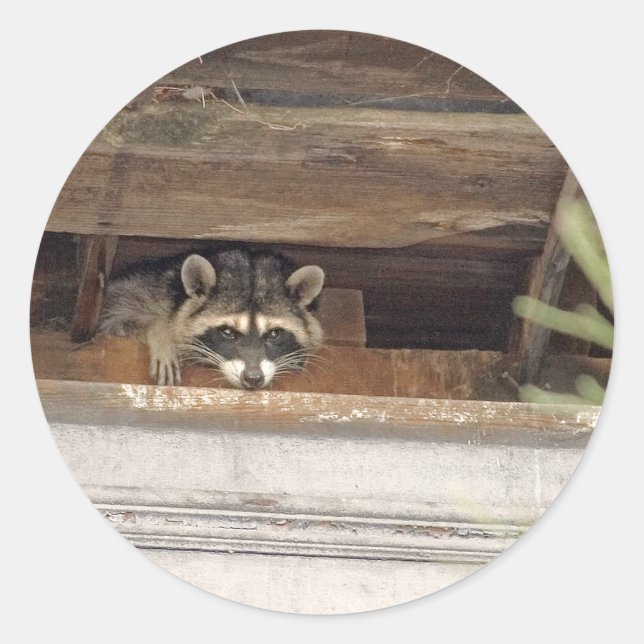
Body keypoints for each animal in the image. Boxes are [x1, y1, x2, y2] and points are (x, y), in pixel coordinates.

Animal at [100, 249, 325, 389]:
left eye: (274, 334)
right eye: (227, 332)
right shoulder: (141, 290)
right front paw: (160, 331)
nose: (253, 378)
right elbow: (114, 321)